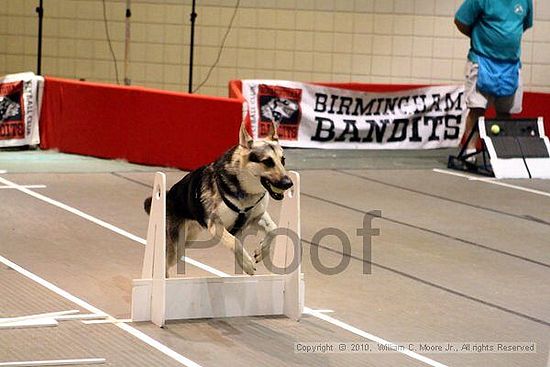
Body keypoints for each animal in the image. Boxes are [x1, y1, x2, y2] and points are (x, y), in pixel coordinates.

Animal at [144, 121, 296, 276]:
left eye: (282, 160)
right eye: (267, 162)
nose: (289, 183)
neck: (243, 187)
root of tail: (168, 194)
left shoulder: (256, 217)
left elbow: (273, 229)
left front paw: (262, 251)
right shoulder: (216, 225)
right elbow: (235, 242)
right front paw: (246, 263)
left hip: (188, 239)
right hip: (176, 248)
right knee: (164, 263)